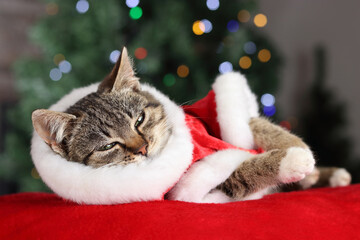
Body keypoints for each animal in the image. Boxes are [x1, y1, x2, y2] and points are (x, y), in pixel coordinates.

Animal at [31, 47, 352, 204]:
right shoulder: (190, 188)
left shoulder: (211, 114)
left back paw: (329, 175)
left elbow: (259, 125)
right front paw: (292, 160)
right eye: (108, 145)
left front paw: (296, 146)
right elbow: (246, 169)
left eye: (139, 120)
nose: (143, 148)